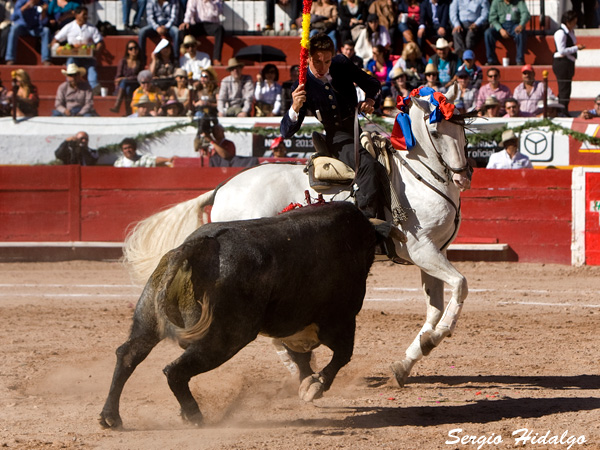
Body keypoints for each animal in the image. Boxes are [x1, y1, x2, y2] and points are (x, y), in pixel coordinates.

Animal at [101, 202, 390, 428]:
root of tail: (198, 245)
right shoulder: (340, 320)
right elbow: (341, 355)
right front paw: (315, 386)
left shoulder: (291, 327)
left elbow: (301, 358)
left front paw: (307, 383)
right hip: (226, 338)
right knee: (174, 371)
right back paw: (194, 416)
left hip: (148, 317)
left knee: (128, 355)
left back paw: (111, 417)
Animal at [124, 85, 472, 386]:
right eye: (436, 131)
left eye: (463, 127)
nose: (461, 176)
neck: (419, 178)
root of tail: (224, 187)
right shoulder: (420, 249)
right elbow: (461, 285)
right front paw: (436, 337)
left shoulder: (434, 252)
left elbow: (435, 307)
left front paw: (408, 360)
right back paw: (301, 371)